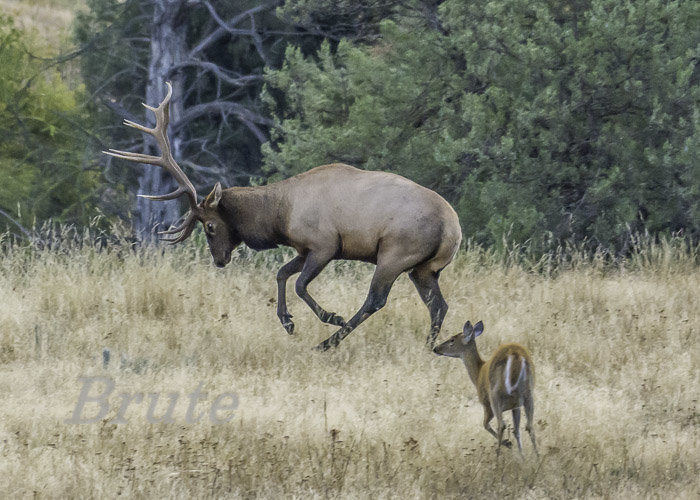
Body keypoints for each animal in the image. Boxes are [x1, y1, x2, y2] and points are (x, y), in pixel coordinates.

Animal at [104, 83, 462, 352]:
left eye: (209, 226)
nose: (220, 260)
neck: (279, 216)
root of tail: (453, 229)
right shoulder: (303, 249)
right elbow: (281, 274)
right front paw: (287, 321)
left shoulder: (325, 245)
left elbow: (301, 284)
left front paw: (328, 316)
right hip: (423, 268)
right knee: (438, 306)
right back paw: (428, 346)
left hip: (395, 254)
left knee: (375, 300)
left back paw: (329, 341)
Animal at [432, 320, 540, 458]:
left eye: (452, 339)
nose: (435, 348)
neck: (478, 374)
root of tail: (515, 355)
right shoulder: (515, 406)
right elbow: (516, 430)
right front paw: (522, 456)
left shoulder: (486, 403)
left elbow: (485, 424)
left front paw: (508, 443)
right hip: (527, 393)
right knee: (529, 426)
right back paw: (537, 457)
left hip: (496, 395)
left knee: (501, 425)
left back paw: (498, 458)